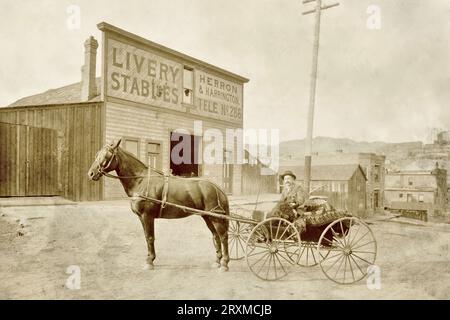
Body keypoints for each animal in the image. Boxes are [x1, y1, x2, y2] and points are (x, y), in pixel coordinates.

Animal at [87, 139, 232, 272]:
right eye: (97, 154)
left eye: (107, 155)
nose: (91, 173)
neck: (141, 180)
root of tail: (217, 188)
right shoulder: (141, 217)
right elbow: (147, 237)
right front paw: (149, 258)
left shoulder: (147, 216)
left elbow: (150, 237)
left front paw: (150, 262)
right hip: (207, 217)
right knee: (216, 236)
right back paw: (217, 261)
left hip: (216, 218)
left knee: (223, 236)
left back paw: (224, 263)